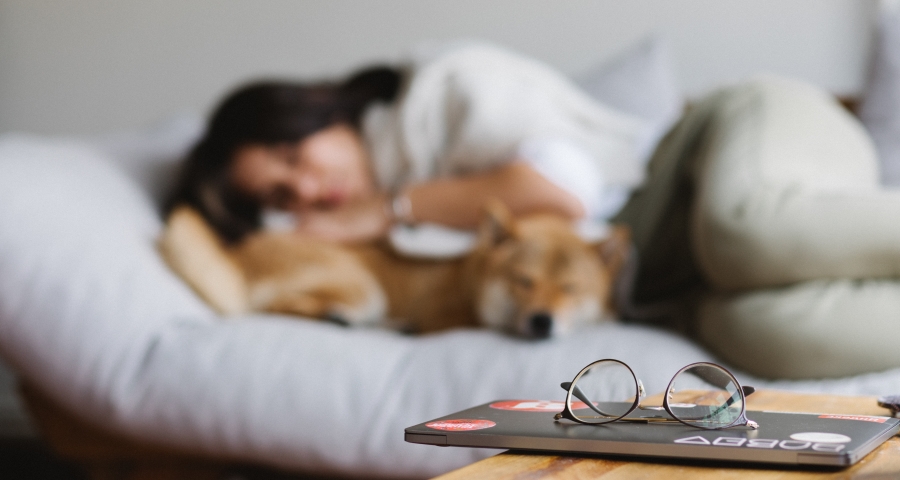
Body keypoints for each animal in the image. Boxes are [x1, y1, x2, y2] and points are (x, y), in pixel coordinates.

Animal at [158, 202, 628, 338]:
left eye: (571, 288)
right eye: (524, 282)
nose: (542, 321)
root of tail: (236, 253)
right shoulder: (442, 313)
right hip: (364, 287)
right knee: (275, 305)